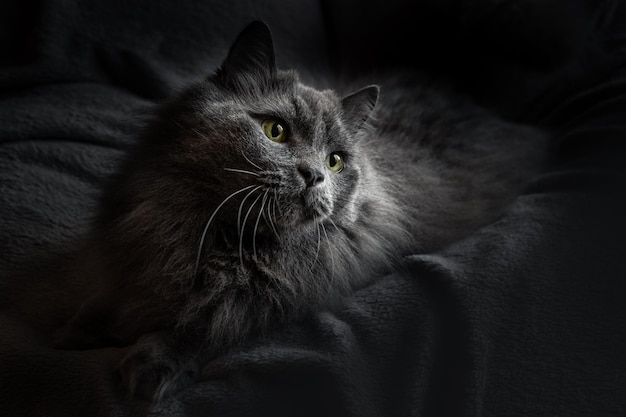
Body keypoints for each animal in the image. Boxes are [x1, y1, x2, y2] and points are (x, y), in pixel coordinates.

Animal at [50, 21, 544, 402]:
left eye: (336, 161)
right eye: (275, 131)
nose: (314, 175)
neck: (223, 235)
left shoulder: (284, 303)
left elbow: (210, 327)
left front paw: (152, 365)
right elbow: (114, 294)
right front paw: (75, 329)